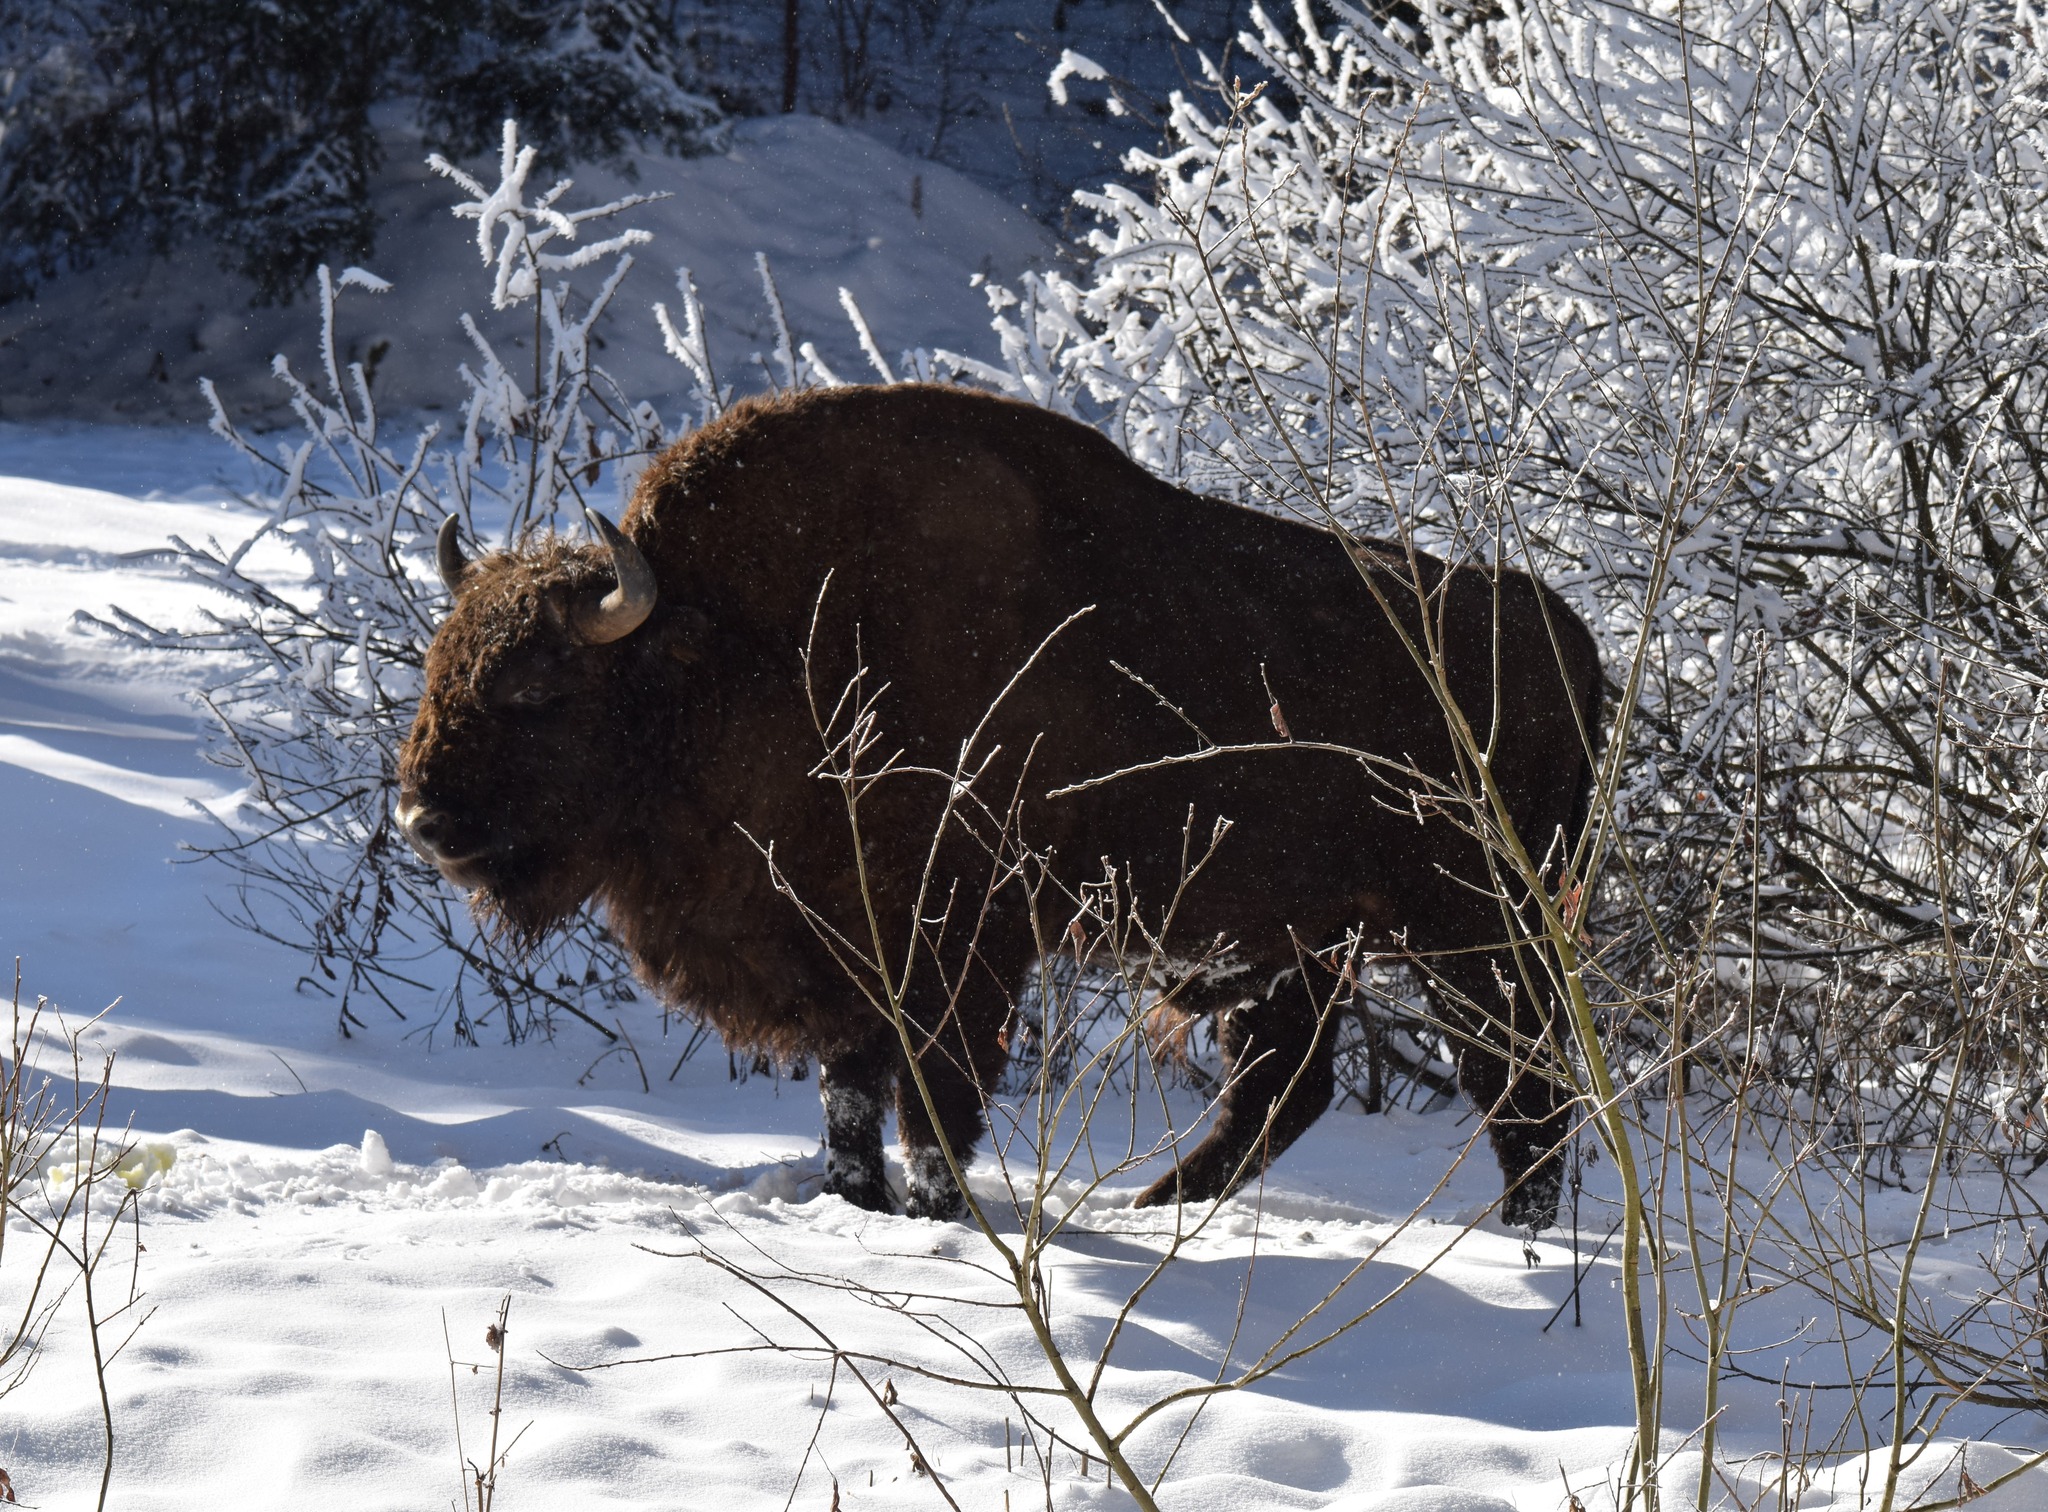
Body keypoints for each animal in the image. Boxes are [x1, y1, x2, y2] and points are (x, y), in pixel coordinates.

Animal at [387, 379, 1597, 1229]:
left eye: (538, 689)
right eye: (439, 670)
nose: (423, 823)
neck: (744, 647)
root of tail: (1566, 640)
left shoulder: (957, 946)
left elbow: (933, 1100)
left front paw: (932, 1211)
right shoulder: (843, 951)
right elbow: (849, 1096)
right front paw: (858, 1200)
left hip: (1479, 938)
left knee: (1520, 1092)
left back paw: (1517, 1244)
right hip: (1307, 943)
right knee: (1284, 1089)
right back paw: (1152, 1207)